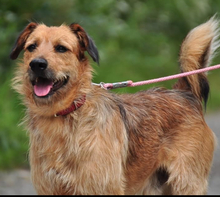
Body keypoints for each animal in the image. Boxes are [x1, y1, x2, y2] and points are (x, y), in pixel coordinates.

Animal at [9, 16, 218, 195]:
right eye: (31, 47)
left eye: (61, 48)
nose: (36, 64)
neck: (66, 115)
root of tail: (183, 92)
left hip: (187, 183)